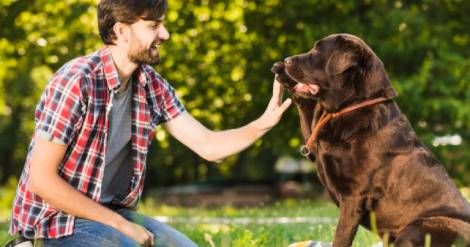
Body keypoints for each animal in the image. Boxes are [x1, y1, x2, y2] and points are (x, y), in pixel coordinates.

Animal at [272, 33, 470, 247]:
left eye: (317, 51)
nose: (286, 60)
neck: (354, 104)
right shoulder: (317, 145)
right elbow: (305, 109)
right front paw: (281, 71)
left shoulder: (354, 196)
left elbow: (340, 238)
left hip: (419, 227)